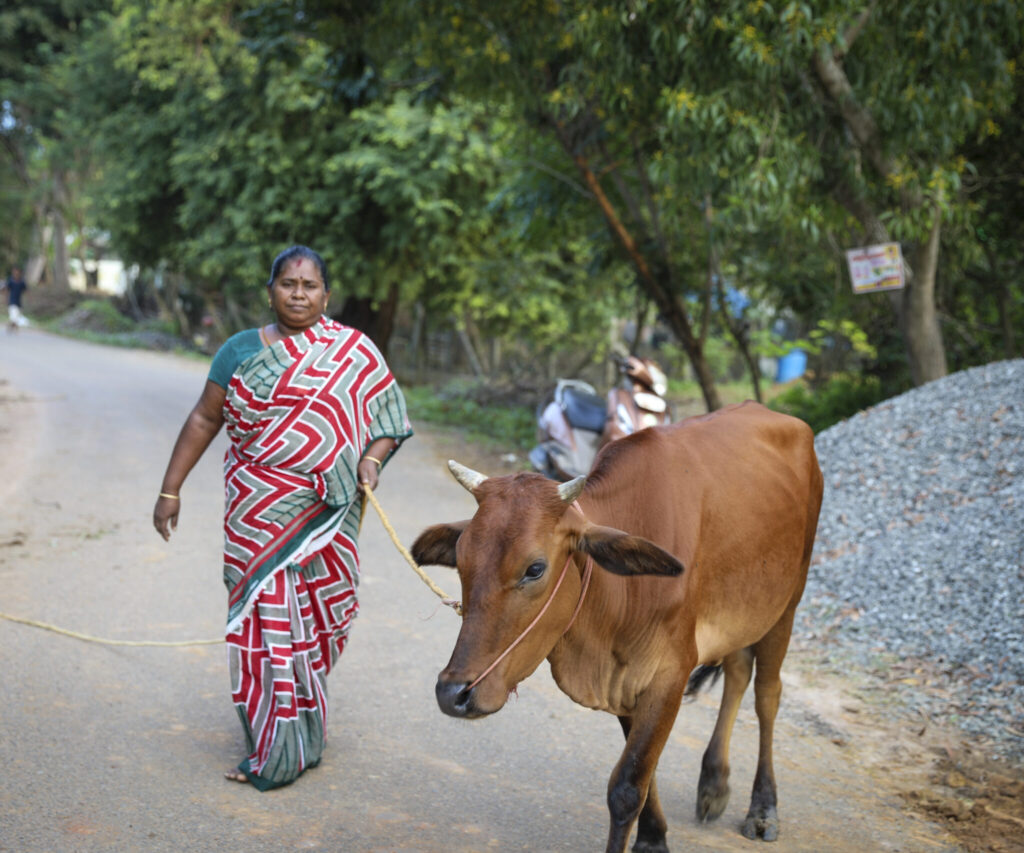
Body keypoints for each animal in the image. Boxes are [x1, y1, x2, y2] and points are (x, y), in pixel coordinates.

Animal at [411, 401, 819, 851]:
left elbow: (626, 787)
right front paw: (654, 837)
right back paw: (714, 784)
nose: (453, 693)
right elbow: (644, 770)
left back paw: (763, 808)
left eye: (535, 569)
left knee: (767, 695)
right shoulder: (624, 680)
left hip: (788, 601)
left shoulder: (670, 673)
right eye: (462, 560)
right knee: (738, 671)